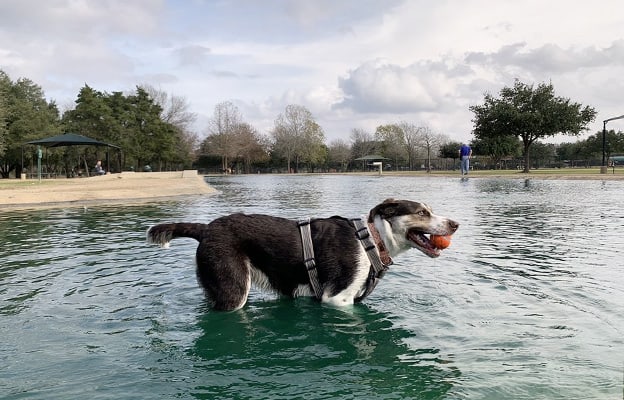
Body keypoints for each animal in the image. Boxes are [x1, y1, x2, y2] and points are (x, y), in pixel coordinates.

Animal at [146, 198, 458, 310]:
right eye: (422, 212)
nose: (455, 224)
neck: (371, 239)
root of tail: (206, 229)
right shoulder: (337, 299)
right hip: (233, 290)